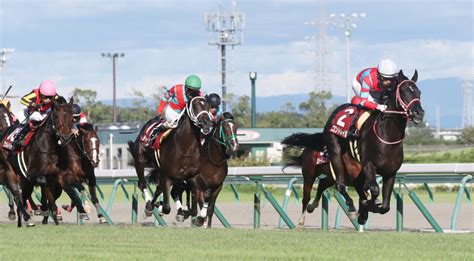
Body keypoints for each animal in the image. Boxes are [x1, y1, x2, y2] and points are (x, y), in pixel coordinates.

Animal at [284, 70, 424, 224]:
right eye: (404, 92)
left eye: (419, 92)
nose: (419, 113)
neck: (387, 137)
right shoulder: (368, 166)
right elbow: (373, 190)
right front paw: (365, 208)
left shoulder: (390, 173)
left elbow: (385, 206)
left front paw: (366, 210)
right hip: (315, 168)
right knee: (320, 191)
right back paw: (304, 220)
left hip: (332, 175)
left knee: (323, 184)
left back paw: (314, 206)